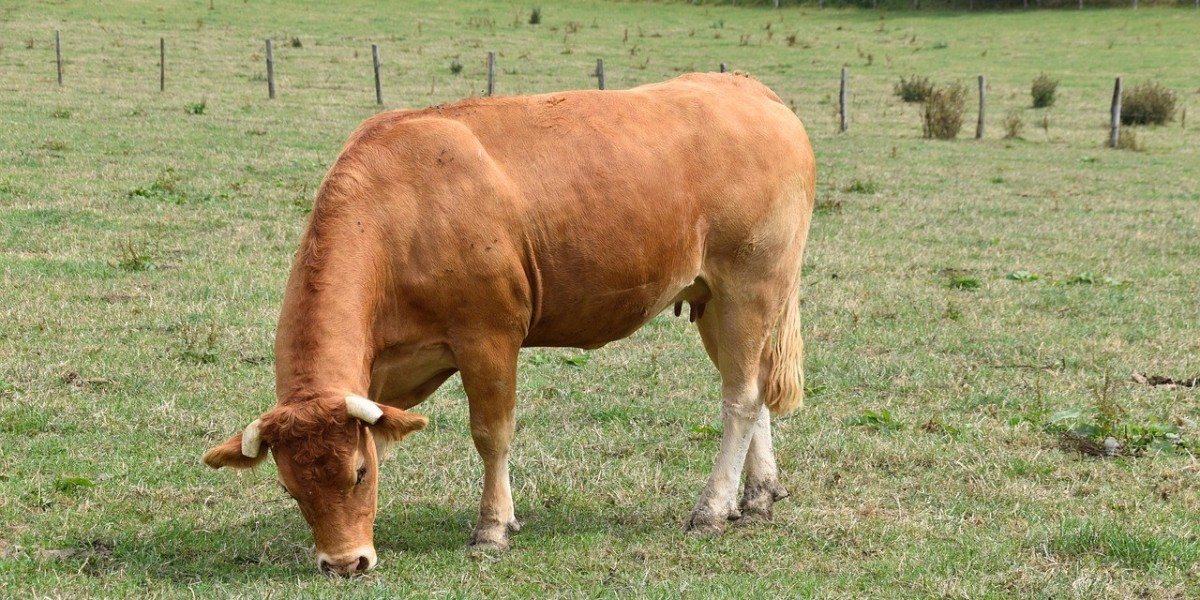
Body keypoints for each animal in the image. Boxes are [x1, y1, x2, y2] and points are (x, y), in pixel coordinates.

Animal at [203, 72, 815, 575]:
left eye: (359, 473)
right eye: (289, 488)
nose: (344, 563)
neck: (398, 211)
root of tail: (753, 90)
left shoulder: (488, 335)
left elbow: (491, 434)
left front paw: (493, 526)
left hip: (749, 288)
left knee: (739, 399)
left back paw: (712, 507)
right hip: (713, 299)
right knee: (751, 387)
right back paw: (757, 494)